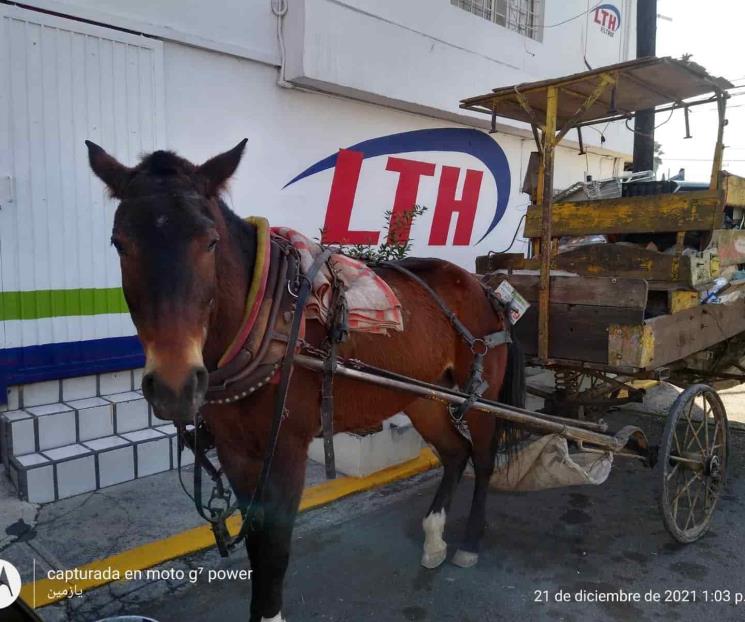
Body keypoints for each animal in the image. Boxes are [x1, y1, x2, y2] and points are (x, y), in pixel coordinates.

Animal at [86, 139, 524, 622]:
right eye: (120, 243)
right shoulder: (237, 450)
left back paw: (468, 542)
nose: (174, 384)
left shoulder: (287, 450)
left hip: (480, 397)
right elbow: (256, 544)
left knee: (482, 457)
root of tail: (484, 286)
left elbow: (275, 547)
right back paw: (433, 538)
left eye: (210, 241)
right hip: (423, 396)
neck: (263, 316)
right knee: (454, 453)